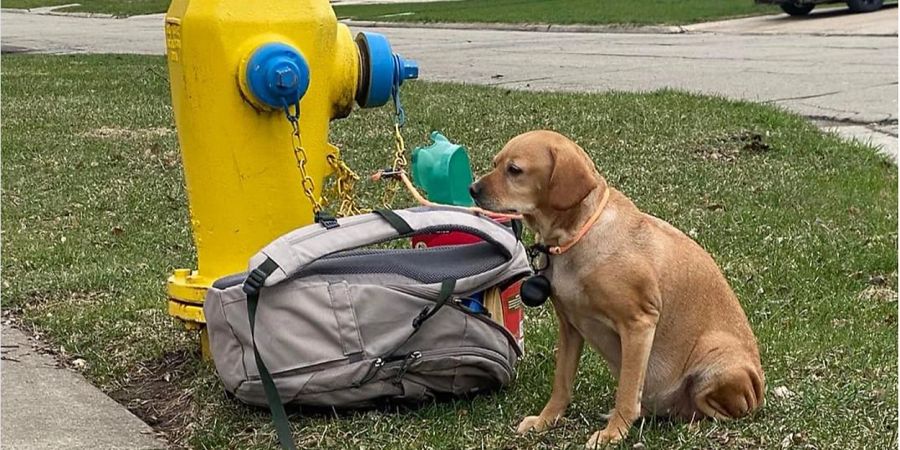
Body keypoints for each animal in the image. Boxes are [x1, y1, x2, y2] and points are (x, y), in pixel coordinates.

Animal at [472, 130, 768, 446]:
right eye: (495, 163)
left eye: (514, 170)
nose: (472, 189)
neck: (576, 237)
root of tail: (759, 390)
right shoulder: (570, 327)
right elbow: (561, 384)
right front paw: (545, 420)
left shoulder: (639, 323)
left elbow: (626, 392)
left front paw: (613, 433)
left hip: (717, 362)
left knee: (721, 412)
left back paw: (693, 426)